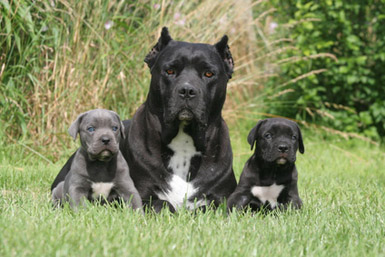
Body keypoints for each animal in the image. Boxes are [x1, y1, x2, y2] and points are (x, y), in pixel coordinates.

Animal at [51, 27, 236, 212]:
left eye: (209, 73)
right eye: (170, 71)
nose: (187, 90)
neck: (183, 141)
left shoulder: (222, 200)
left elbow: (206, 208)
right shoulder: (141, 195)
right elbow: (163, 204)